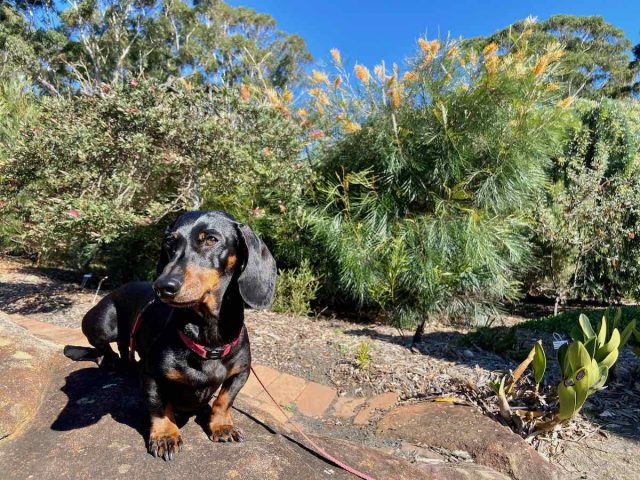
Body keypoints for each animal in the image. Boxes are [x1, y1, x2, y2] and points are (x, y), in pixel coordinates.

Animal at [65, 212, 276, 460]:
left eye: (211, 239)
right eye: (169, 242)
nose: (162, 287)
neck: (208, 340)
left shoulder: (241, 372)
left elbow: (224, 400)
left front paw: (222, 426)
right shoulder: (151, 375)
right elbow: (159, 406)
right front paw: (165, 436)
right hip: (101, 323)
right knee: (104, 347)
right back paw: (108, 360)